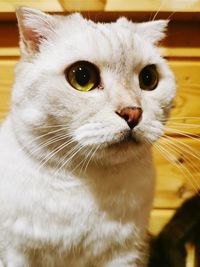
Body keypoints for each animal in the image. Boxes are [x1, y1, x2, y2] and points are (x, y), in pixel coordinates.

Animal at [0, 8, 175, 267]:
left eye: (148, 78)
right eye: (82, 77)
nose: (133, 112)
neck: (85, 179)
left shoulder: (127, 253)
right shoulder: (14, 253)